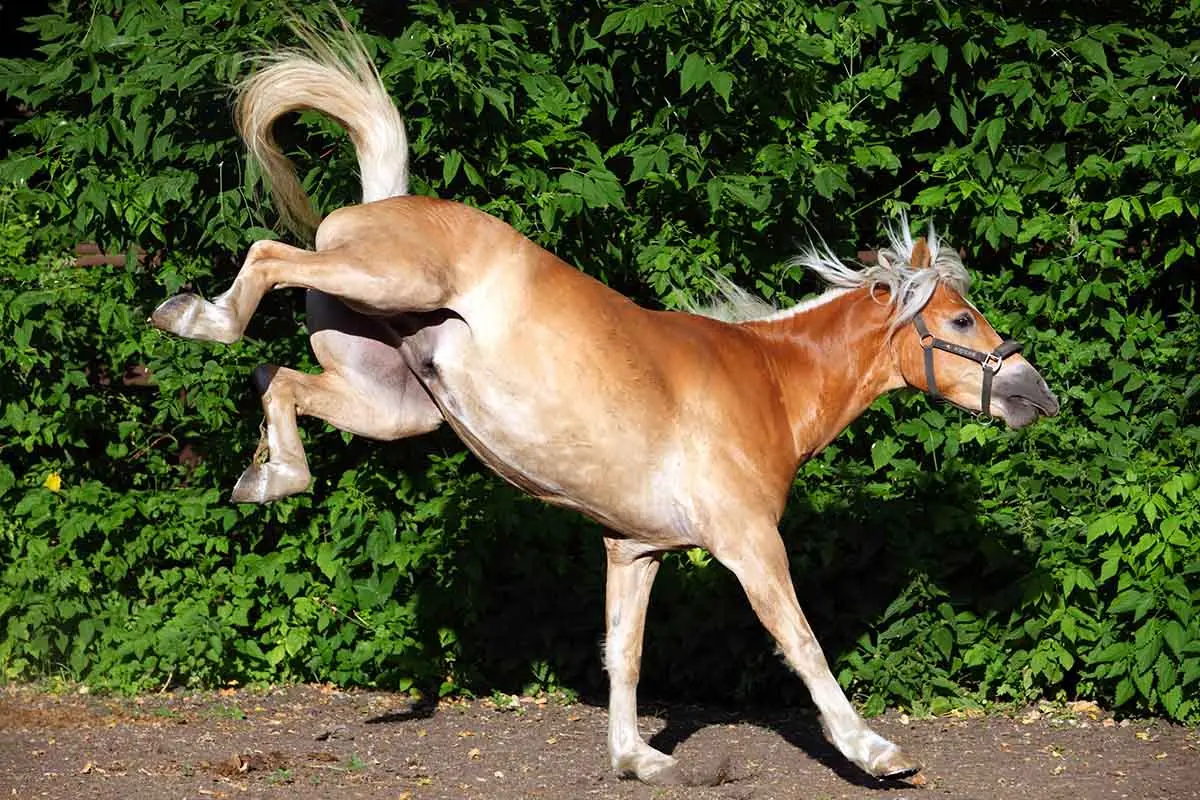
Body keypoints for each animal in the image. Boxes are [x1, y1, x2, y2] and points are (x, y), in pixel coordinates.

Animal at [149, 23, 1059, 785]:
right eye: (960, 320)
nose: (1035, 394)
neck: (768, 384)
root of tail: (386, 202)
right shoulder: (748, 544)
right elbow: (802, 645)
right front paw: (876, 753)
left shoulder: (635, 549)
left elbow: (625, 653)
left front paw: (637, 759)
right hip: (380, 282)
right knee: (268, 255)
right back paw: (195, 319)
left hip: (394, 404)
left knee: (279, 382)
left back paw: (267, 476)